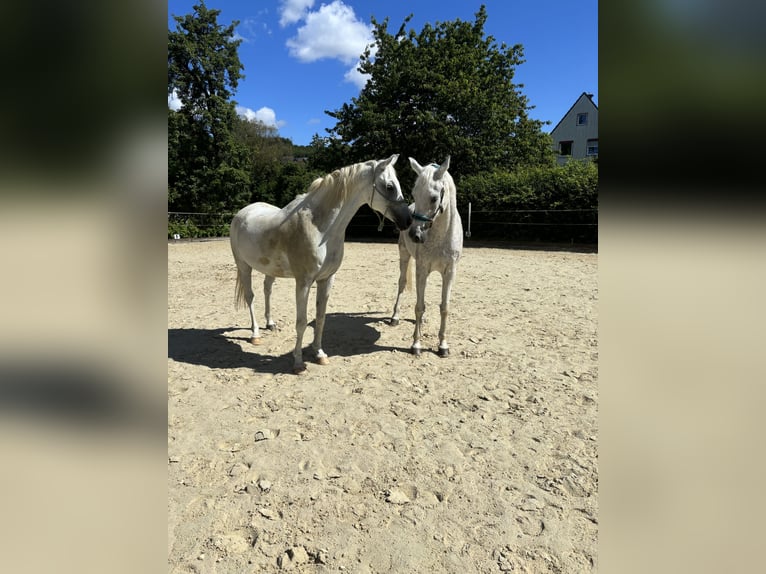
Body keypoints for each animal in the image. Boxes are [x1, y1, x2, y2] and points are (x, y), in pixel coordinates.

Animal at [231, 156, 414, 374]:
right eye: (389, 186)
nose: (408, 220)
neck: (320, 228)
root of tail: (242, 213)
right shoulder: (303, 282)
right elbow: (301, 322)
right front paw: (298, 363)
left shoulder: (326, 279)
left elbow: (320, 318)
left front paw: (319, 354)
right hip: (244, 266)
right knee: (250, 297)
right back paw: (256, 334)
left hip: (270, 269)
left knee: (267, 290)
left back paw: (271, 324)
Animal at [390, 155, 462, 358]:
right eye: (414, 194)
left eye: (434, 198)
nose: (415, 235)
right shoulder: (422, 269)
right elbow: (419, 306)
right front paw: (416, 344)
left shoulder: (449, 272)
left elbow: (444, 308)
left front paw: (443, 346)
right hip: (404, 256)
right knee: (401, 284)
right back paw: (395, 317)